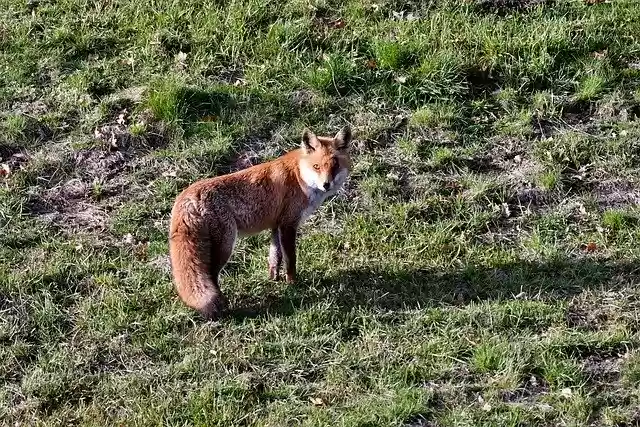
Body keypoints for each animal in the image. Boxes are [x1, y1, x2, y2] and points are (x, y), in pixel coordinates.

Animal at [168, 125, 353, 320]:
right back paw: (223, 306)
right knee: (211, 276)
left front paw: (274, 279)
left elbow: (274, 257)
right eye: (316, 167)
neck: (299, 177)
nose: (326, 184)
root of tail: (186, 198)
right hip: (225, 246)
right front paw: (293, 284)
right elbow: (290, 260)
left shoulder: (276, 225)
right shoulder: (288, 225)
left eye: (335, 166)